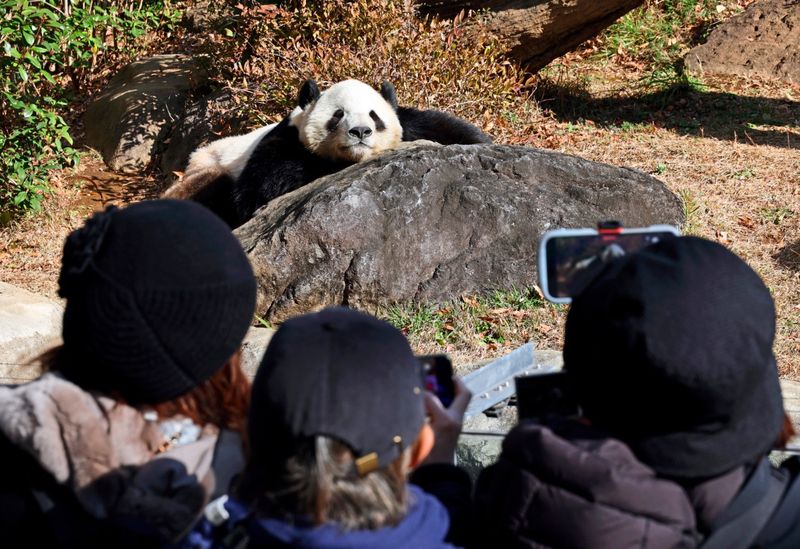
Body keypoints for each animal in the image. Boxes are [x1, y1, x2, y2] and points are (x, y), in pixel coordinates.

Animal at [163, 78, 491, 228]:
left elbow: (441, 126)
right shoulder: (282, 142)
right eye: (338, 115)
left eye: (374, 116)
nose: (360, 132)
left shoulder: (410, 123)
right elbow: (260, 190)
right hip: (204, 170)